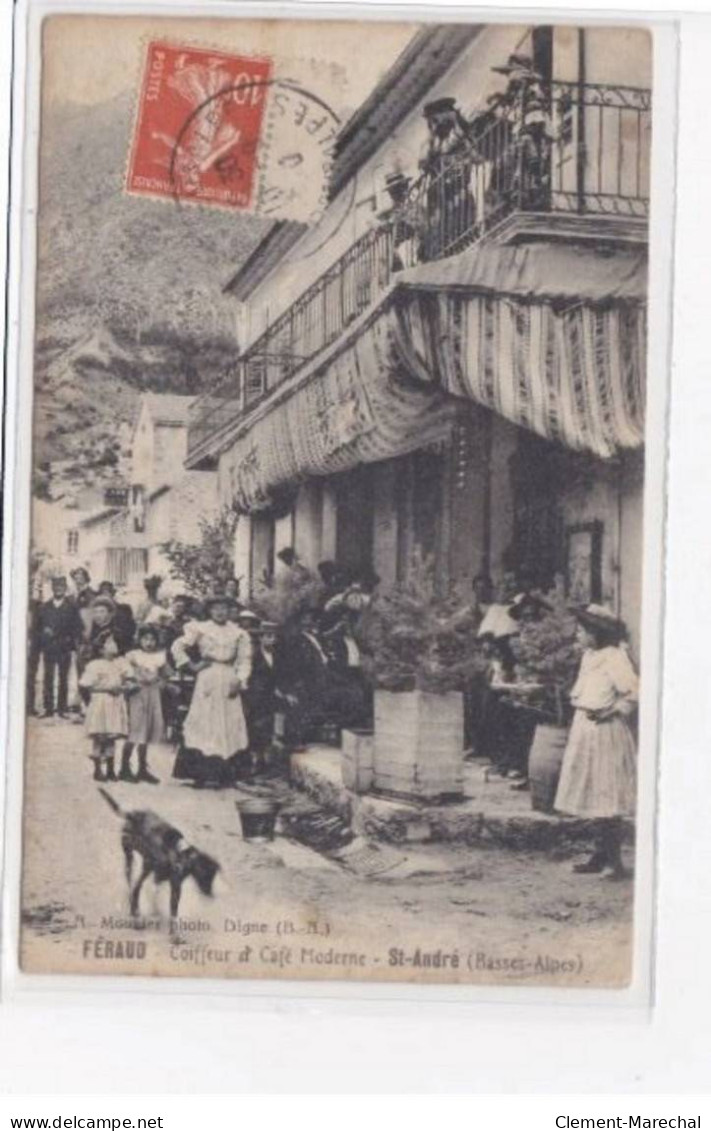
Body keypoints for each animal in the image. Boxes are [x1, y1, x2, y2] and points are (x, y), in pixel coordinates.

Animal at [97, 787, 219, 918]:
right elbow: (153, 899)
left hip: (143, 865)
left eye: (212, 876)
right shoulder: (157, 878)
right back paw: (133, 905)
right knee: (132, 883)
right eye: (205, 874)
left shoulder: (174, 887)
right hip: (133, 859)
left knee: (135, 886)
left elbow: (172, 911)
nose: (210, 895)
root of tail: (133, 815)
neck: (179, 854)